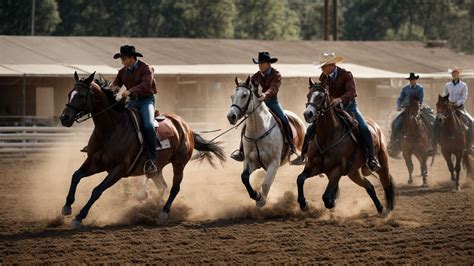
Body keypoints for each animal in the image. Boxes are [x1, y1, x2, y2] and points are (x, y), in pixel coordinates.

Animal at [59, 71, 226, 228]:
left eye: (81, 95)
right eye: (69, 94)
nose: (64, 118)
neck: (110, 129)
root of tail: (185, 126)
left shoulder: (118, 169)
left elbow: (97, 190)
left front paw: (79, 217)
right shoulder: (95, 163)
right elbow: (76, 176)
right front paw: (67, 207)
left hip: (179, 164)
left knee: (175, 188)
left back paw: (163, 212)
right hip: (157, 168)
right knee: (162, 186)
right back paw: (153, 208)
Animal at [227, 76, 306, 207]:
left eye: (244, 95)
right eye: (232, 96)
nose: (231, 116)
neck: (258, 131)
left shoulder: (273, 164)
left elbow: (265, 184)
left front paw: (261, 200)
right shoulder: (250, 162)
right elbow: (244, 178)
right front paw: (256, 195)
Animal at [296, 80, 396, 215]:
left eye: (321, 96)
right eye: (308, 95)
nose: (308, 114)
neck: (327, 137)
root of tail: (376, 126)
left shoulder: (337, 170)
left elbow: (326, 197)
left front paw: (331, 201)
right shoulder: (313, 166)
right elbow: (300, 179)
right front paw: (303, 204)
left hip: (382, 162)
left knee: (386, 183)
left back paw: (388, 209)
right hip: (353, 173)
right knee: (369, 186)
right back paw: (380, 208)